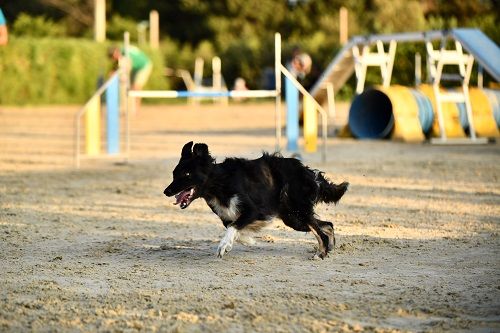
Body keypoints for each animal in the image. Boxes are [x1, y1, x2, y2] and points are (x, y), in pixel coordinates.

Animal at [164, 141, 348, 258]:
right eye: (174, 174)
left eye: (187, 174)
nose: (166, 191)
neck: (220, 183)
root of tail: (308, 172)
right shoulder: (229, 215)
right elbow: (232, 226)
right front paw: (244, 240)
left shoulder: (253, 210)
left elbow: (233, 226)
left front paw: (224, 245)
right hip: (292, 218)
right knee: (327, 225)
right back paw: (328, 248)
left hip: (298, 211)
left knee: (320, 230)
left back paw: (321, 253)